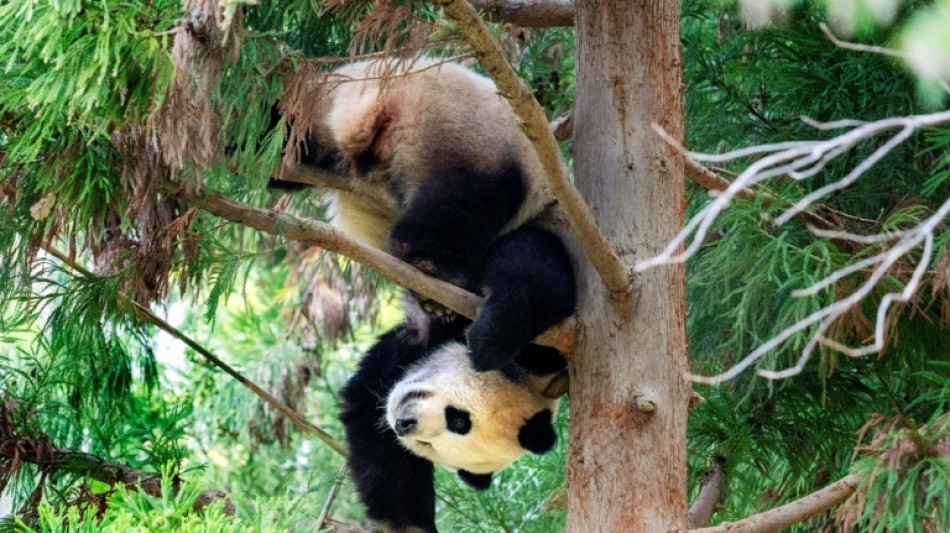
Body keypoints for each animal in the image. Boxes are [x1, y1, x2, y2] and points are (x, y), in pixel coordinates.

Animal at [278, 58, 576, 372]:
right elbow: (537, 278)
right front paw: (488, 345)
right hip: (473, 145)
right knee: (464, 202)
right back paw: (433, 266)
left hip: (322, 109)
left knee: (288, 130)